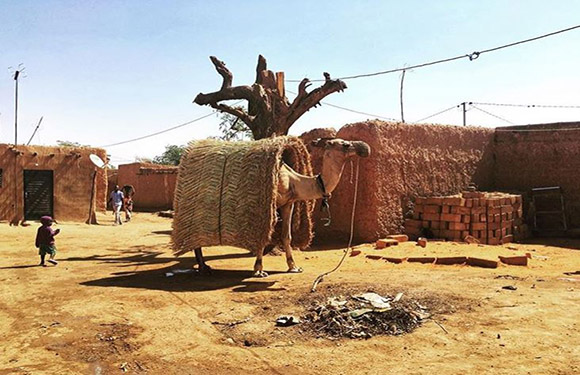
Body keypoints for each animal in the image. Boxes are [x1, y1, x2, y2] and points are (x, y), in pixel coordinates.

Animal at [193, 137, 370, 276]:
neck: (293, 180)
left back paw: (203, 265)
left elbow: (287, 236)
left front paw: (293, 267)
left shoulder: (288, 203)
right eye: (345, 144)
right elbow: (263, 234)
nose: (365, 147)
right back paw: (202, 266)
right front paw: (258, 269)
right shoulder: (268, 202)